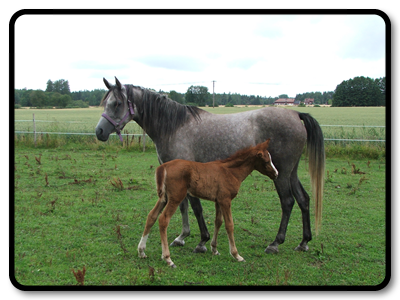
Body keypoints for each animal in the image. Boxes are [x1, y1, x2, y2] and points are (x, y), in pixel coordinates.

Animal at [95, 77, 324, 253]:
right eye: (106, 103)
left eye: (117, 104)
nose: (100, 132)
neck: (174, 127)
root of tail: (295, 114)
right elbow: (183, 205)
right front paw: (182, 237)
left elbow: (195, 206)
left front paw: (202, 241)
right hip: (290, 172)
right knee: (303, 199)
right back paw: (304, 242)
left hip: (281, 173)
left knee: (288, 202)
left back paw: (276, 243)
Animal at [138, 138, 278, 268]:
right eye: (266, 161)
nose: (276, 174)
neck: (230, 171)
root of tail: (164, 166)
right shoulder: (226, 200)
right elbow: (229, 225)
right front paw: (236, 255)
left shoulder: (219, 201)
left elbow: (218, 222)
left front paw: (214, 249)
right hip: (176, 197)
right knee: (163, 219)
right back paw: (168, 258)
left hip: (164, 197)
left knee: (152, 216)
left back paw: (141, 251)